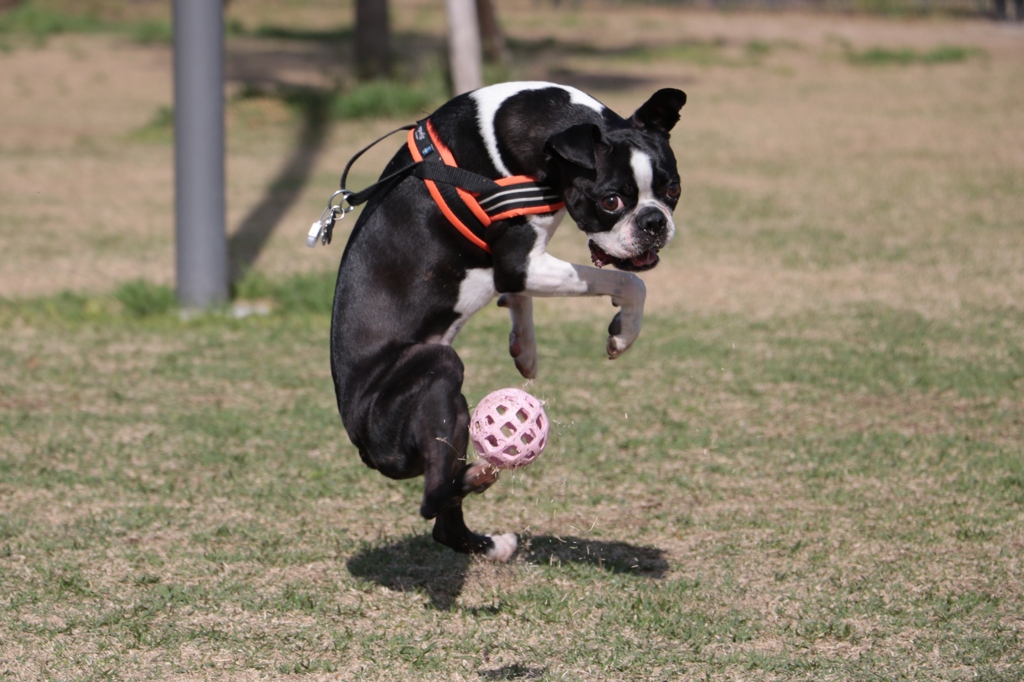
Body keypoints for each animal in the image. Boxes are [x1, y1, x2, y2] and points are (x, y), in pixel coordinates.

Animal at [327, 80, 684, 557]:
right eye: (610, 201)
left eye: (673, 190)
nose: (654, 222)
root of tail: (363, 443)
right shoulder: (519, 264)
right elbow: (629, 282)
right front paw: (623, 334)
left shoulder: (522, 265)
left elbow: (523, 298)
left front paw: (525, 349)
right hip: (438, 367)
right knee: (431, 498)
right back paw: (476, 480)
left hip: (456, 418)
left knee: (442, 520)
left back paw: (487, 543)